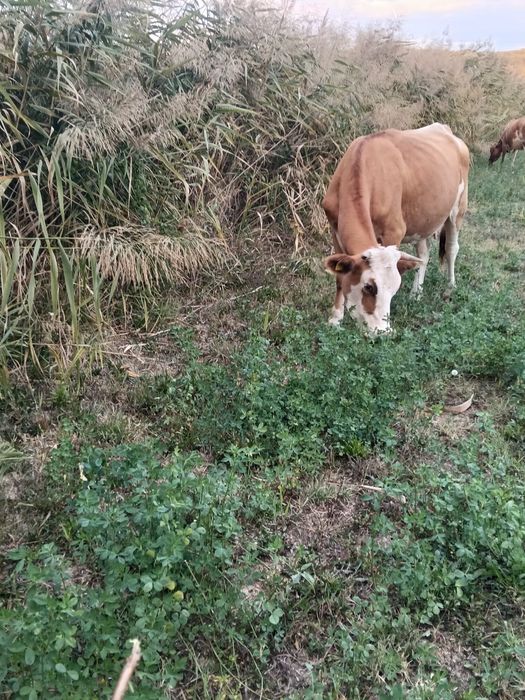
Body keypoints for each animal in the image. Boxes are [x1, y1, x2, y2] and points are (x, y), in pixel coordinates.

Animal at [322, 123, 470, 333]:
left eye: (394, 289)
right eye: (369, 287)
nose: (383, 332)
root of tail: (444, 128)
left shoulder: (394, 231)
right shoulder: (334, 229)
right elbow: (338, 278)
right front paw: (335, 319)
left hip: (458, 208)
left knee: (451, 248)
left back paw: (450, 287)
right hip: (422, 219)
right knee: (423, 255)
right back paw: (416, 293)